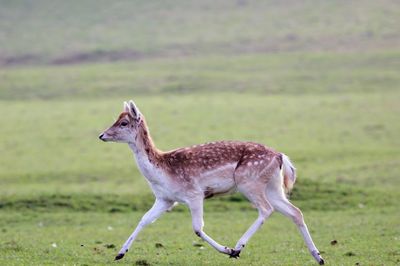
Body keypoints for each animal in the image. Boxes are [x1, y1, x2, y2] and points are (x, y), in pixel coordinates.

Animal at [99, 100, 324, 264]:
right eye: (117, 119)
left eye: (124, 123)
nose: (102, 135)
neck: (162, 172)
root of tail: (281, 156)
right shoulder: (165, 199)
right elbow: (144, 219)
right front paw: (119, 253)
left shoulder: (194, 194)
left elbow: (197, 228)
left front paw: (227, 250)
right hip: (273, 187)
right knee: (295, 212)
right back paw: (318, 257)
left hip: (249, 182)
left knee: (266, 209)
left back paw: (238, 247)